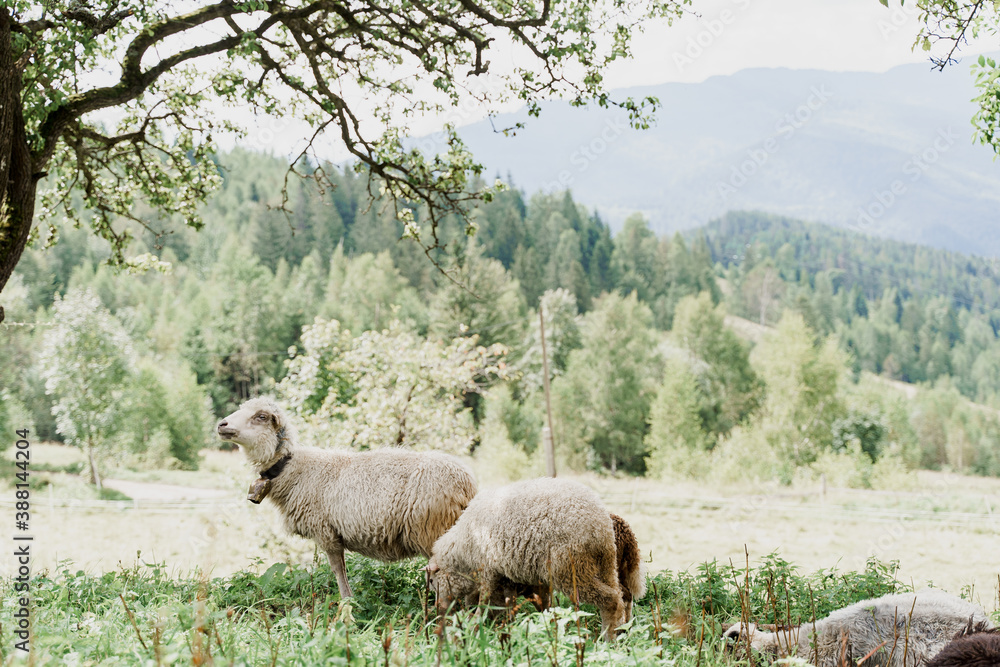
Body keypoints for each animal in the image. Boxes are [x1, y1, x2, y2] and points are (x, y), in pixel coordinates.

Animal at [217, 396, 477, 599]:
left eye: (260, 416)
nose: (221, 424)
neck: (293, 468)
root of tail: (467, 484)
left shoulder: (325, 531)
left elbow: (337, 570)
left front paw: (346, 603)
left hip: (434, 530)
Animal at [425, 477, 626, 640]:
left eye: (432, 581)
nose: (437, 610)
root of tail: (601, 524)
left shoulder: (488, 569)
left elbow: (484, 600)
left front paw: (475, 624)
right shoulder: (508, 578)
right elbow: (513, 604)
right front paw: (513, 626)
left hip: (571, 569)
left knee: (610, 600)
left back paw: (606, 640)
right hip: (606, 566)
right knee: (619, 598)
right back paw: (618, 632)